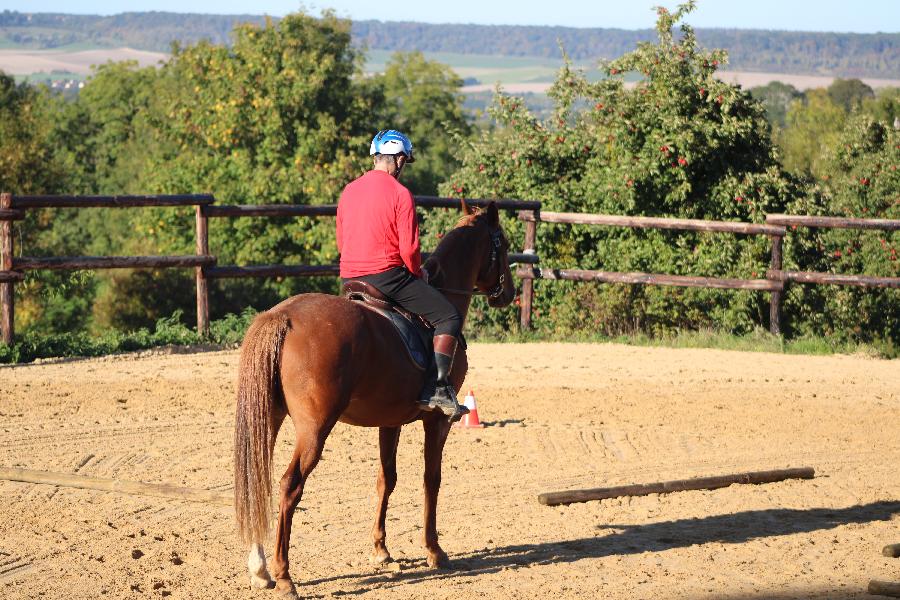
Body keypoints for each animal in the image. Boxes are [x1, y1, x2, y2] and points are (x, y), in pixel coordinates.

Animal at [232, 200, 512, 596]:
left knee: (259, 479)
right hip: (314, 429)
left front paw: (381, 549)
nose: (508, 293)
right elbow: (431, 479)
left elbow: (386, 479)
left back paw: (260, 569)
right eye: (502, 245)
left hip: (269, 418)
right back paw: (284, 575)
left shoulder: (389, 421)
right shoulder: (437, 422)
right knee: (290, 485)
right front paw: (434, 550)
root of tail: (282, 316)